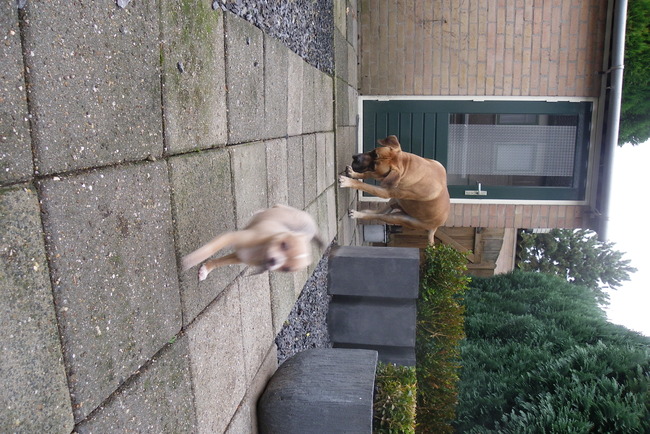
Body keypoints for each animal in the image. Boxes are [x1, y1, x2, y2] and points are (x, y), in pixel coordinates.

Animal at [182, 205, 323, 281]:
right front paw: (190, 260)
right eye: (284, 245)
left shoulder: (238, 257)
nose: (273, 261)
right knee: (274, 207)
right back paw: (260, 212)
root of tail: (313, 226)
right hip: (284, 209)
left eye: (286, 269)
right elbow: (211, 248)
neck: (260, 249)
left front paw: (205, 270)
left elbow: (219, 262)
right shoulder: (231, 237)